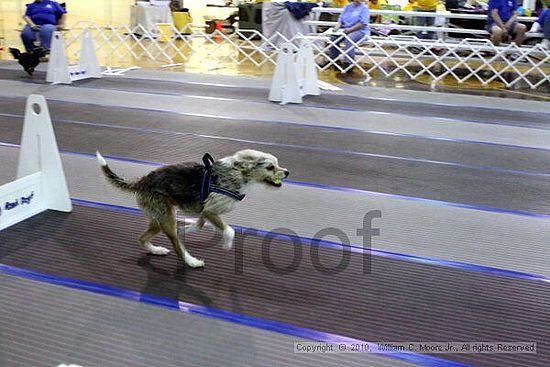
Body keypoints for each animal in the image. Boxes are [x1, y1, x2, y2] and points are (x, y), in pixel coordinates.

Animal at [97, 149, 292, 268]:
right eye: (270, 167)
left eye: (277, 163)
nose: (287, 172)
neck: (237, 174)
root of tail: (142, 181)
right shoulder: (211, 210)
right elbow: (229, 230)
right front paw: (227, 243)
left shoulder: (205, 210)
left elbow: (199, 224)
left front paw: (187, 229)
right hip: (166, 218)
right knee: (177, 246)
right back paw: (191, 262)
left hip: (158, 219)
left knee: (142, 237)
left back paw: (156, 250)